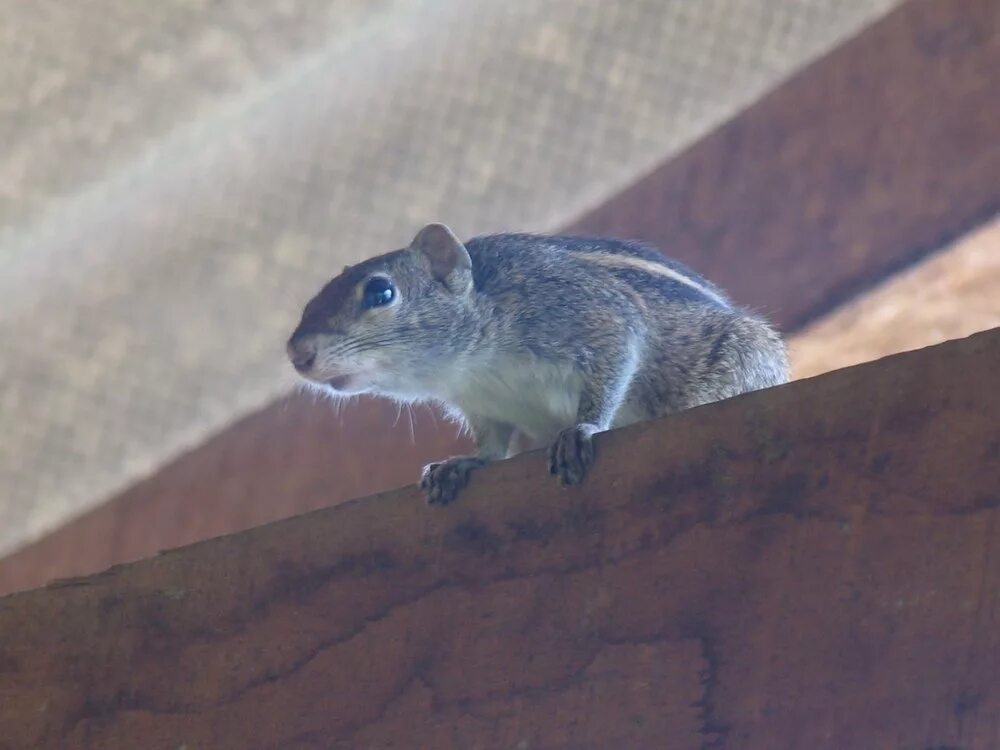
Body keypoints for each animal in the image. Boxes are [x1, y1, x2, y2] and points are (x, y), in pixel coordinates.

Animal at [288, 223, 788, 506]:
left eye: (381, 292)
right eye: (309, 302)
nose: (297, 354)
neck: (471, 368)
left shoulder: (593, 317)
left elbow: (616, 360)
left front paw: (582, 430)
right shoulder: (482, 406)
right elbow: (493, 444)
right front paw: (463, 463)